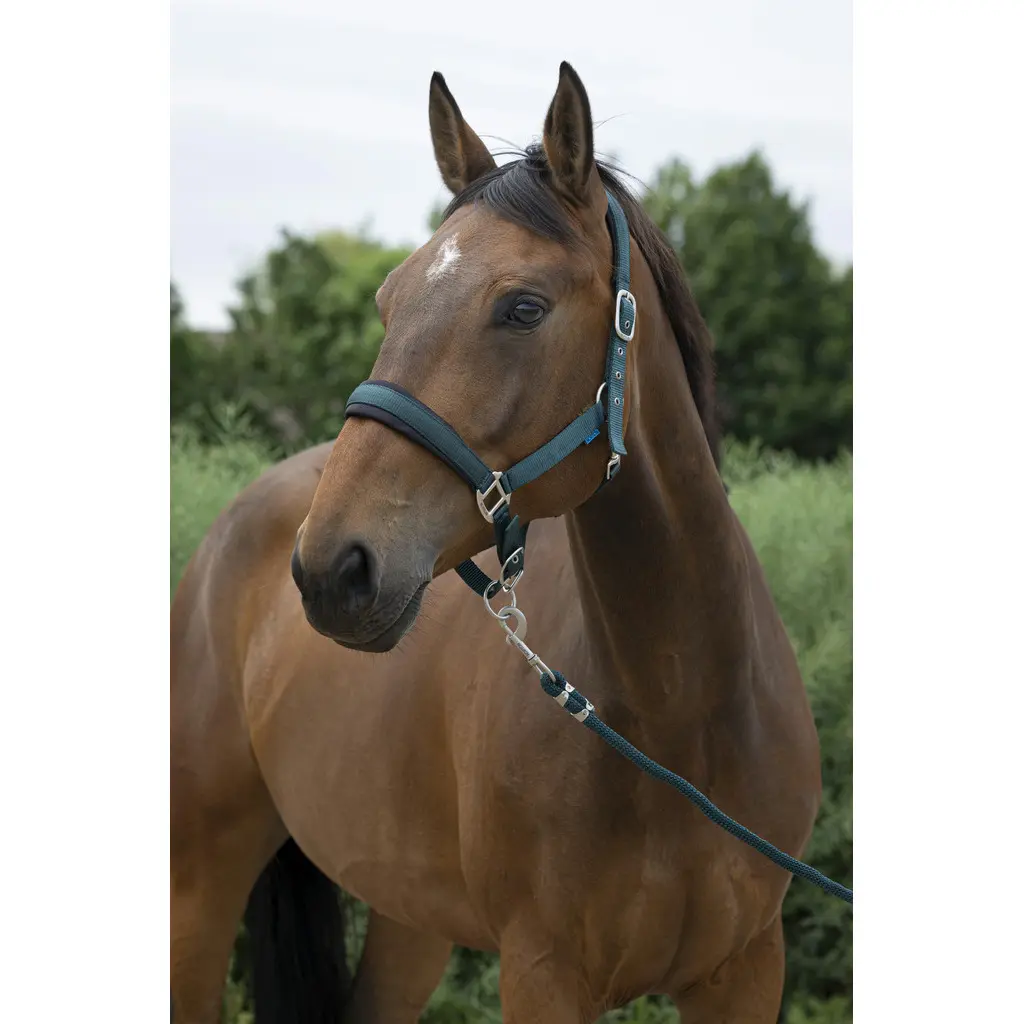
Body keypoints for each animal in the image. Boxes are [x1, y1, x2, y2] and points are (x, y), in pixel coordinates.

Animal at [170, 62, 822, 1023]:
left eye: (522, 307)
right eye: (388, 301)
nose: (331, 569)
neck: (683, 722)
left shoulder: (746, 970)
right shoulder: (543, 971)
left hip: (408, 914)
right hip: (202, 880)